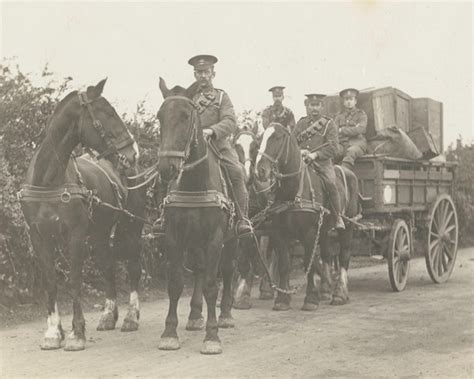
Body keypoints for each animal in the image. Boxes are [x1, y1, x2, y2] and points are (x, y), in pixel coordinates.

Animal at [19, 78, 144, 352]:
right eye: (107, 113)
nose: (133, 153)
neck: (48, 181)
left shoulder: (74, 236)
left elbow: (75, 280)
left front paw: (76, 333)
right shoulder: (39, 237)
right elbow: (51, 281)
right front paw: (53, 333)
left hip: (131, 228)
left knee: (133, 267)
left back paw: (131, 317)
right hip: (99, 236)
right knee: (108, 266)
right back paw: (108, 316)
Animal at [156, 78, 237, 356]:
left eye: (185, 115)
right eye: (159, 117)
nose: (166, 168)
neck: (194, 183)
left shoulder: (215, 238)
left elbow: (213, 285)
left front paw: (212, 337)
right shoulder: (174, 237)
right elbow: (175, 283)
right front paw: (169, 333)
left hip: (233, 239)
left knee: (229, 270)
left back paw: (225, 315)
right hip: (194, 241)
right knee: (200, 270)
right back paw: (194, 316)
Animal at [254, 123, 358, 310]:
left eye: (277, 138)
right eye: (261, 138)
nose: (260, 171)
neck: (293, 191)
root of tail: (349, 172)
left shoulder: (309, 233)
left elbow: (309, 262)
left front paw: (310, 299)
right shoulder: (279, 234)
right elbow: (285, 265)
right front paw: (282, 300)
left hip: (348, 227)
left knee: (344, 256)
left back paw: (340, 294)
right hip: (323, 231)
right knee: (326, 255)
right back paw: (325, 290)